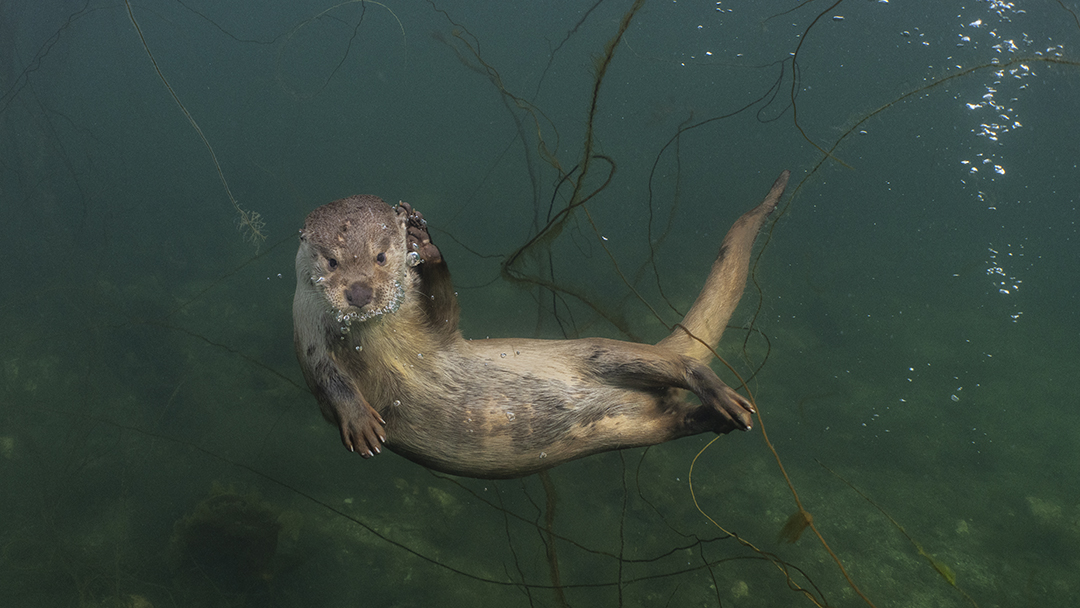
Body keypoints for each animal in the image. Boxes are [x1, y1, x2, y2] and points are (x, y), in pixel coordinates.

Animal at [291, 171, 790, 481]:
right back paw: (715, 418)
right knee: (672, 419)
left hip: (600, 353)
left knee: (677, 364)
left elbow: (446, 317)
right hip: (635, 429)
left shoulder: (436, 336)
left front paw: (425, 244)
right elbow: (328, 380)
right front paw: (360, 422)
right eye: (332, 261)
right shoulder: (307, 335)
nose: (359, 292)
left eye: (380, 256)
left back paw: (723, 397)